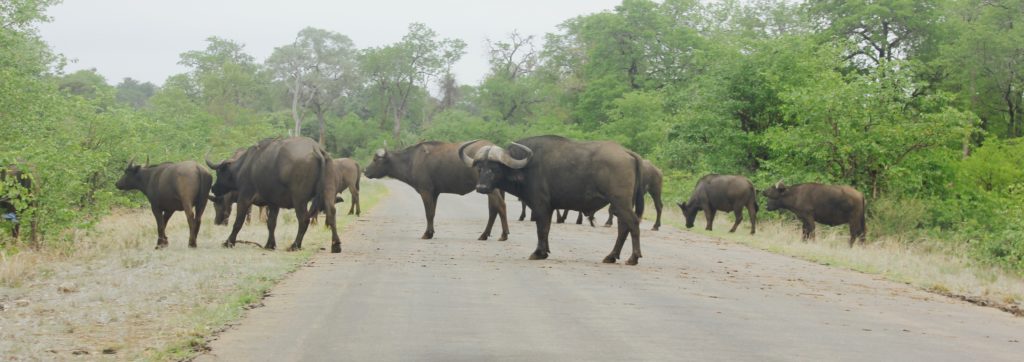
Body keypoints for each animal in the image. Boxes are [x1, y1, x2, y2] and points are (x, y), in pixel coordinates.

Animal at [205, 137, 342, 253]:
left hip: (299, 199)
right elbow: (271, 223)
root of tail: (316, 149)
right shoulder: (273, 203)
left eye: (219, 172)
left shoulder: (244, 197)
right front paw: (270, 244)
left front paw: (229, 242)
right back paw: (336, 245)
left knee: (303, 219)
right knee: (331, 212)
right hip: (328, 191)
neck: (244, 166)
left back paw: (295, 245)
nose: (213, 188)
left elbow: (238, 221)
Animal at [368, 141, 512, 240]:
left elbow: (428, 213)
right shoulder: (435, 193)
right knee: (493, 210)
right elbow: (433, 212)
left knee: (500, 206)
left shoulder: (425, 191)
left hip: (490, 189)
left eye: (375, 160)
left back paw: (504, 234)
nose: (365, 171)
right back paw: (484, 235)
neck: (411, 160)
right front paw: (431, 232)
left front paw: (427, 234)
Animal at [460, 133, 643, 263]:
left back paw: (633, 257)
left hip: (620, 201)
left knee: (633, 223)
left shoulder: (541, 205)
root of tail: (627, 152)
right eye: (480, 168)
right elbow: (546, 228)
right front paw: (545, 251)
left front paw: (538, 253)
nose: (481, 188)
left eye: (495, 168)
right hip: (619, 204)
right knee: (623, 227)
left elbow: (541, 228)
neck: (526, 168)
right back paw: (611, 256)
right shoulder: (549, 207)